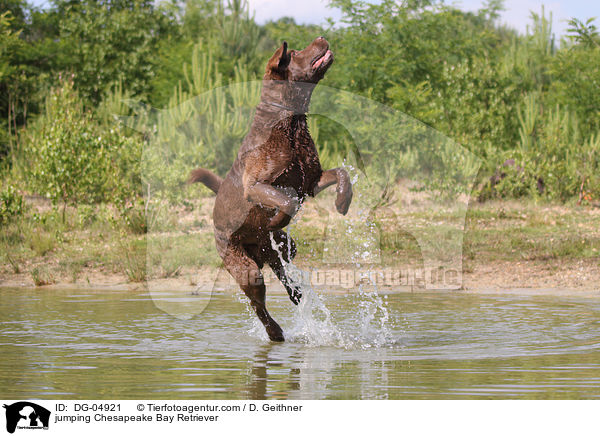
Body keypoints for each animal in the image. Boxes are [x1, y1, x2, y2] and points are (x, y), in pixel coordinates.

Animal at [189, 37, 352, 340]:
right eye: (296, 52)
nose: (322, 38)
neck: (290, 124)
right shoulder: (256, 186)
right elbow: (287, 202)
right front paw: (276, 219)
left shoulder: (310, 181)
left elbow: (342, 173)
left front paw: (342, 201)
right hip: (244, 267)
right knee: (258, 304)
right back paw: (275, 332)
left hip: (281, 247)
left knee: (281, 264)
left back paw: (295, 293)